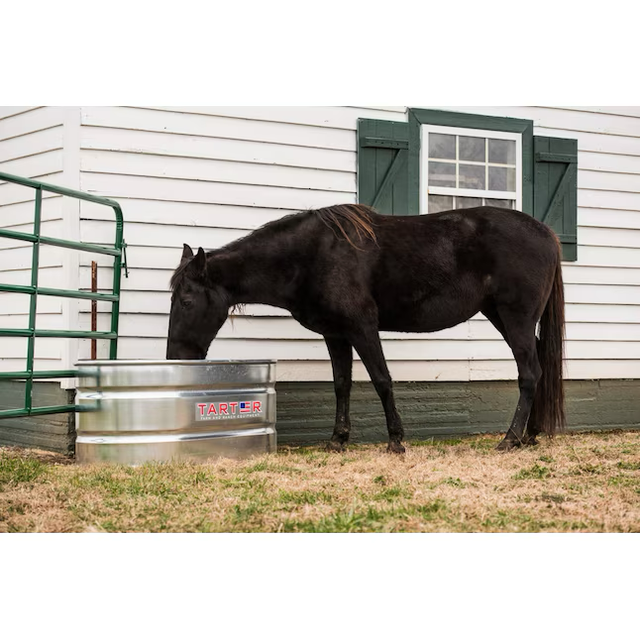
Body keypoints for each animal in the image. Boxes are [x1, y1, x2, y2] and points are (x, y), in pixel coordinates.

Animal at [166, 204, 564, 450]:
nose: (175, 358)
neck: (312, 255)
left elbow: (381, 380)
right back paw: (528, 436)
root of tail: (546, 232)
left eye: (186, 301)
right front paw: (337, 439)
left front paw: (396, 440)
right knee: (537, 371)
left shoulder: (362, 327)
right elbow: (342, 384)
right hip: (503, 317)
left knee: (529, 373)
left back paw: (511, 438)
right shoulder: (336, 334)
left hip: (515, 318)